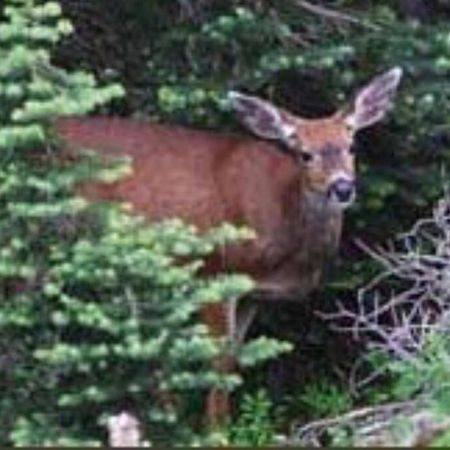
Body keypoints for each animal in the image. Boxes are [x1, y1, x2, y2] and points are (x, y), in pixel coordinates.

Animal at [53, 67, 404, 426]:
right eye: (305, 154)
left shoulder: (253, 293)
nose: (343, 188)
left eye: (351, 146)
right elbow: (218, 361)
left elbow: (235, 358)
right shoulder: (215, 272)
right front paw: (216, 429)